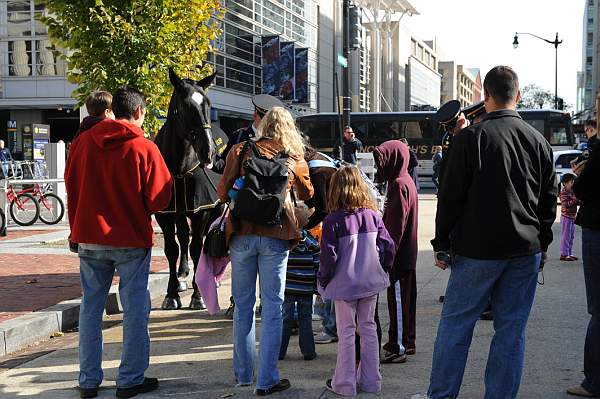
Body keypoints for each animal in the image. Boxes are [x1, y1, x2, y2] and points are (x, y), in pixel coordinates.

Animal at [155, 69, 227, 310]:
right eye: (185, 106)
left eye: (207, 104)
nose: (209, 152)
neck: (179, 167)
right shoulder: (164, 213)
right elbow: (171, 249)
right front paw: (171, 294)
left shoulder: (201, 209)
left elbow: (197, 247)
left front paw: (198, 295)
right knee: (183, 238)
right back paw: (182, 276)